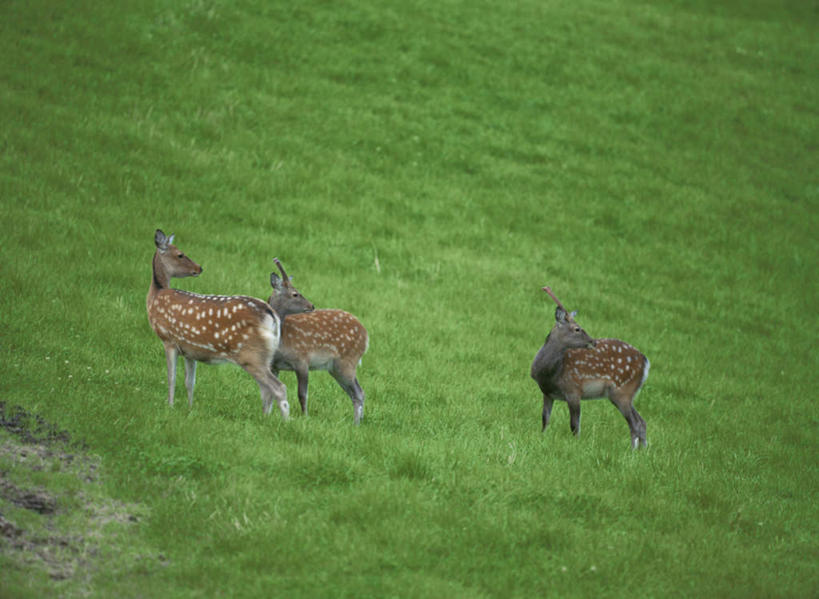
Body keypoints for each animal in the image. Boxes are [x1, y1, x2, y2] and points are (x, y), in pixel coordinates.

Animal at [146, 232, 310, 420]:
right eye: (180, 254)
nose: (199, 268)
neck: (156, 296)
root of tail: (272, 315)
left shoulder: (169, 339)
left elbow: (171, 377)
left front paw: (170, 406)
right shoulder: (189, 351)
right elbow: (190, 382)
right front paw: (189, 408)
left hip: (251, 355)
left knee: (278, 387)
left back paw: (284, 421)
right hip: (265, 357)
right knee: (267, 389)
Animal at [266, 260, 368, 424]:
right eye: (295, 293)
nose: (311, 306)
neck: (282, 342)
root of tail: (366, 335)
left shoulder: (302, 360)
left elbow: (302, 394)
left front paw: (305, 417)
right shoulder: (274, 366)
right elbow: (271, 390)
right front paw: (267, 415)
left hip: (347, 361)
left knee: (359, 392)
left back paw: (356, 424)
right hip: (335, 368)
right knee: (355, 393)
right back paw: (358, 422)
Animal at [532, 288, 652, 450]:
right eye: (577, 329)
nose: (593, 341)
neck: (550, 374)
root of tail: (646, 363)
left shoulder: (574, 389)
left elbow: (574, 425)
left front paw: (575, 445)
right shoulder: (547, 393)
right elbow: (545, 419)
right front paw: (542, 438)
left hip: (622, 390)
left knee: (635, 423)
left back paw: (633, 451)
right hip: (626, 394)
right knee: (642, 422)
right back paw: (643, 451)